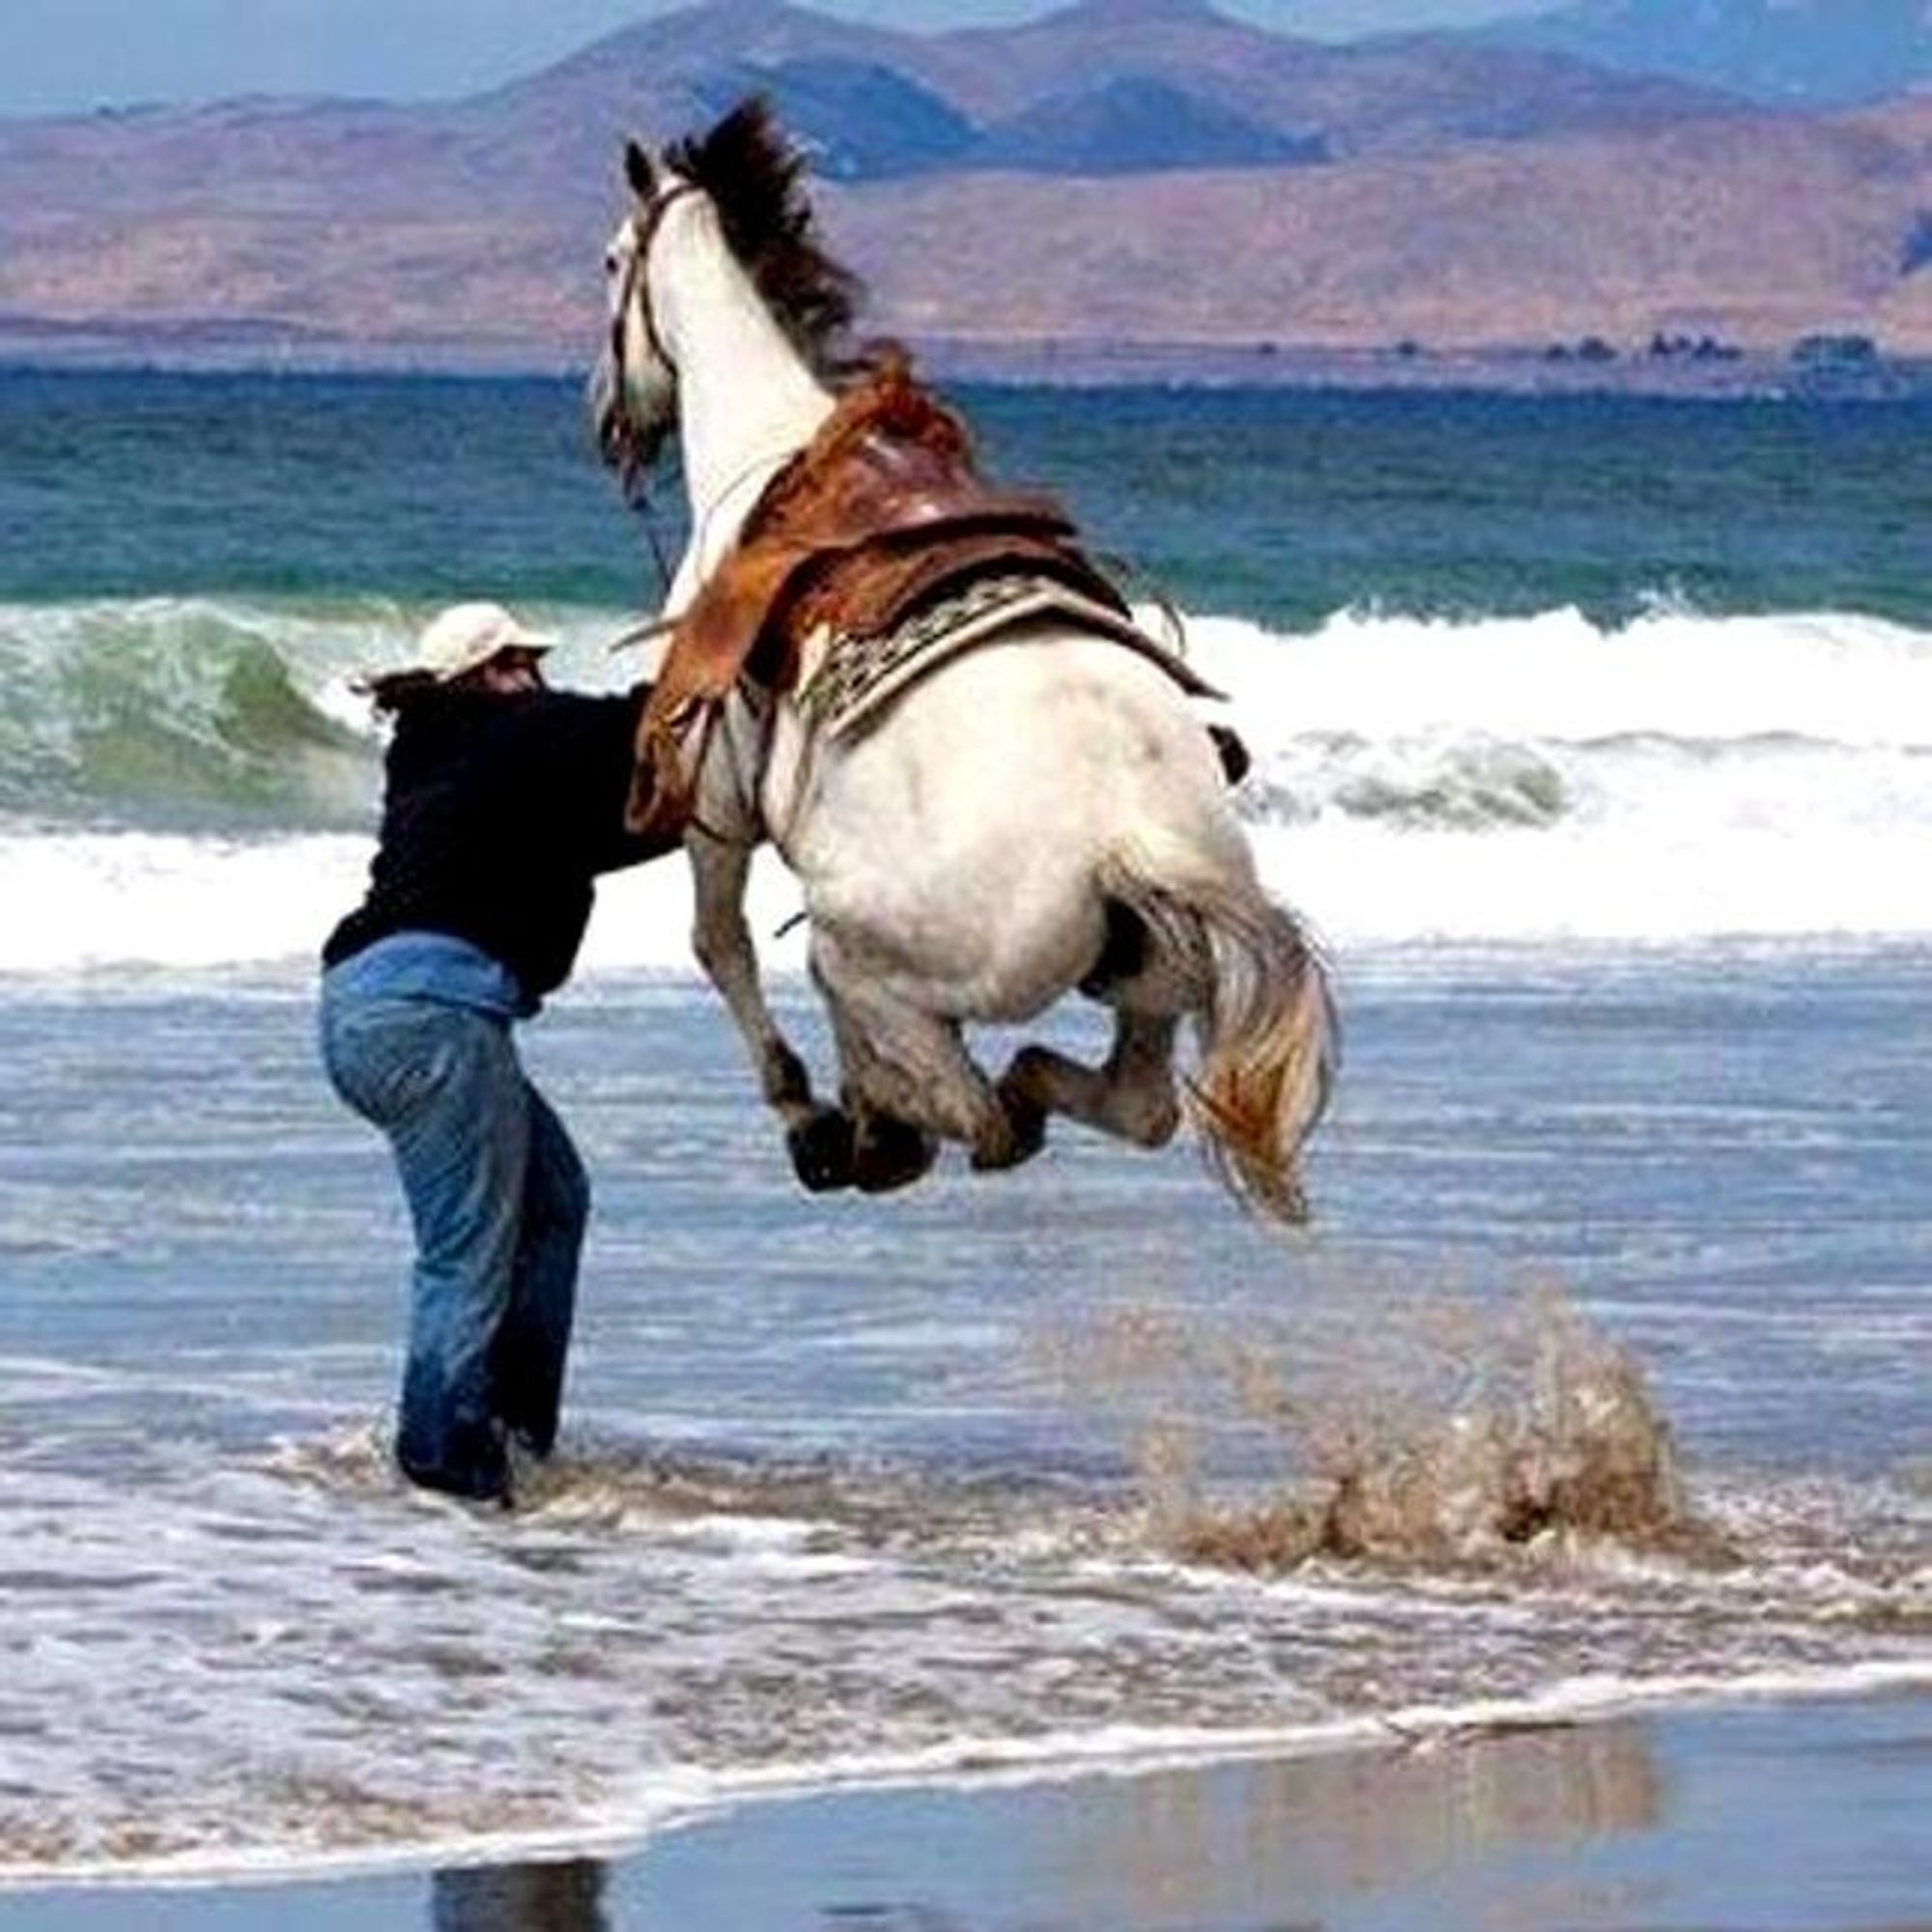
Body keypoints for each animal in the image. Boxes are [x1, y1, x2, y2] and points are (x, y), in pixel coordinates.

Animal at [591, 98, 1345, 1213]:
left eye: (611, 262)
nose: (606, 415)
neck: (766, 451)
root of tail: (1129, 839)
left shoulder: (711, 799)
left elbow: (718, 945)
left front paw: (806, 1114)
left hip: (864, 947)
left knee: (969, 1101)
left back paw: (878, 1130)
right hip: (1148, 982)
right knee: (1128, 1105)